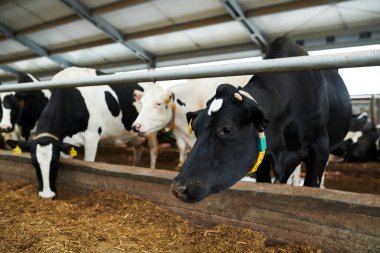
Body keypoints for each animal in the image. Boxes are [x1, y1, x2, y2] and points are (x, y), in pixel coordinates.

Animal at [6, 66, 152, 198]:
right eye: (34, 163)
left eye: (55, 162)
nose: (46, 196)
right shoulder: (63, 141)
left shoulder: (92, 136)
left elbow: (89, 163)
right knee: (138, 150)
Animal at [171, 37, 352, 203]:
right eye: (195, 128)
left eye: (227, 129)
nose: (178, 188)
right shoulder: (264, 159)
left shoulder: (319, 149)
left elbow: (312, 184)